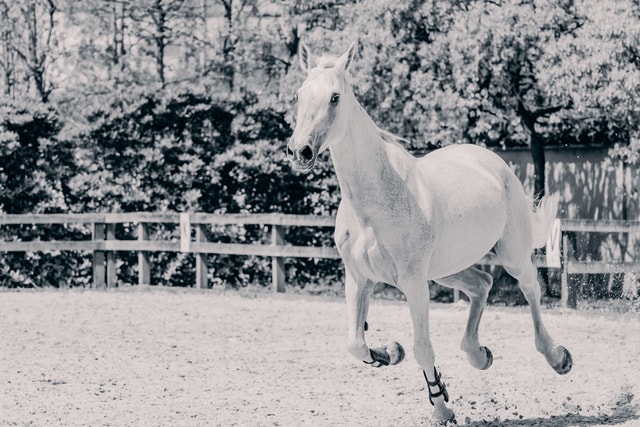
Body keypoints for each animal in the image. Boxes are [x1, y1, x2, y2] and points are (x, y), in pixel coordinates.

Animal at [288, 41, 572, 422]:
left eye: (335, 97)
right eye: (299, 95)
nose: (300, 151)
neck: (377, 198)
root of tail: (496, 165)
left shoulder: (412, 284)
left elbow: (422, 348)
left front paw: (441, 409)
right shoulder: (358, 279)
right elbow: (356, 343)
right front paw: (390, 352)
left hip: (511, 256)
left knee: (530, 291)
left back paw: (558, 358)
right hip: (445, 270)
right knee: (482, 284)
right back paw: (478, 354)